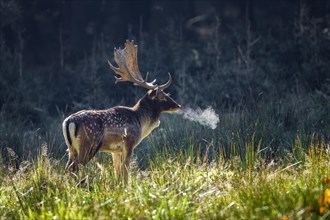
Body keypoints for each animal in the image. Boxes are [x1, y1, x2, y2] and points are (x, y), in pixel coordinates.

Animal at [62, 40, 180, 184]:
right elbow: (125, 172)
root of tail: (68, 122)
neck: (141, 121)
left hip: (71, 148)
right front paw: (126, 187)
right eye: (163, 96)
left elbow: (117, 172)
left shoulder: (115, 150)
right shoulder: (129, 142)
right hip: (88, 145)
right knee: (73, 168)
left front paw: (118, 186)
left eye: (168, 94)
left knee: (67, 168)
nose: (178, 105)